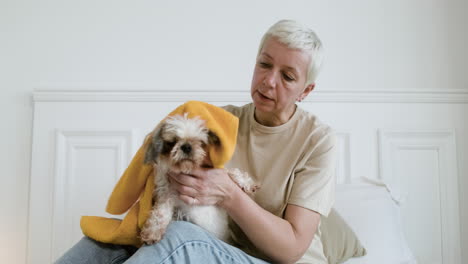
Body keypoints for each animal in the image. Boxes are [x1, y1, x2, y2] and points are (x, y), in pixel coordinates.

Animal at [141, 112, 258, 244]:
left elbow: (231, 172)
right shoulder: (166, 194)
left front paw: (246, 183)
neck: (187, 170)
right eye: (172, 142)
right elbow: (160, 213)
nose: (186, 146)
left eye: (200, 142)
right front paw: (153, 231)